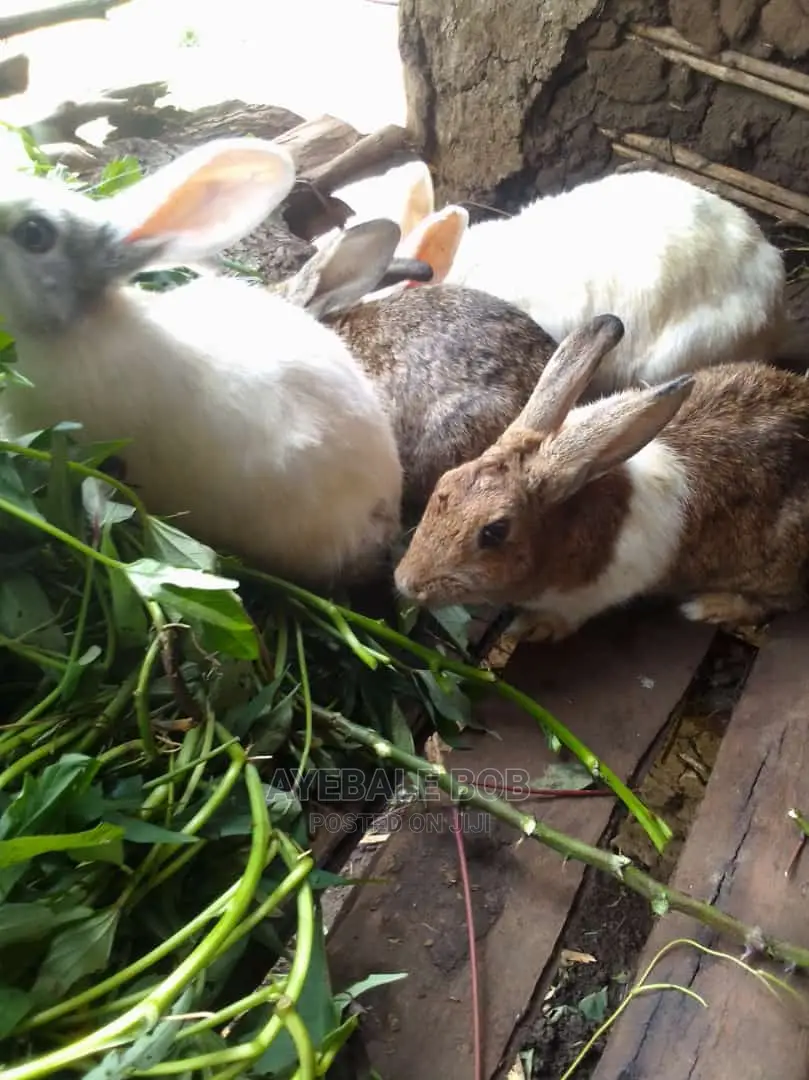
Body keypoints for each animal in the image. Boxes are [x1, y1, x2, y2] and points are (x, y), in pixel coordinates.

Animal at [393, 312, 809, 643]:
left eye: (494, 532)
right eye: (444, 483)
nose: (406, 581)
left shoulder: (595, 593)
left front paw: (530, 628)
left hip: (775, 565)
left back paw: (709, 606)